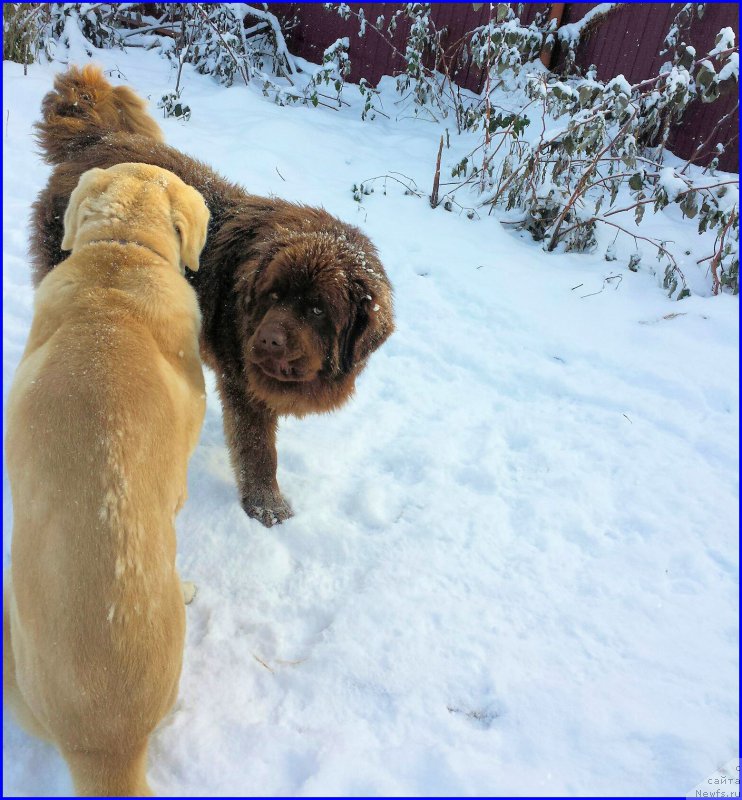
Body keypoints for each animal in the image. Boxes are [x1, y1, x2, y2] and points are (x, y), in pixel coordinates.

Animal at [32, 65, 398, 528]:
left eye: (316, 309)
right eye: (273, 296)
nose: (267, 340)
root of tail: (95, 141)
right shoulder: (243, 385)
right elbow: (259, 450)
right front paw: (267, 507)